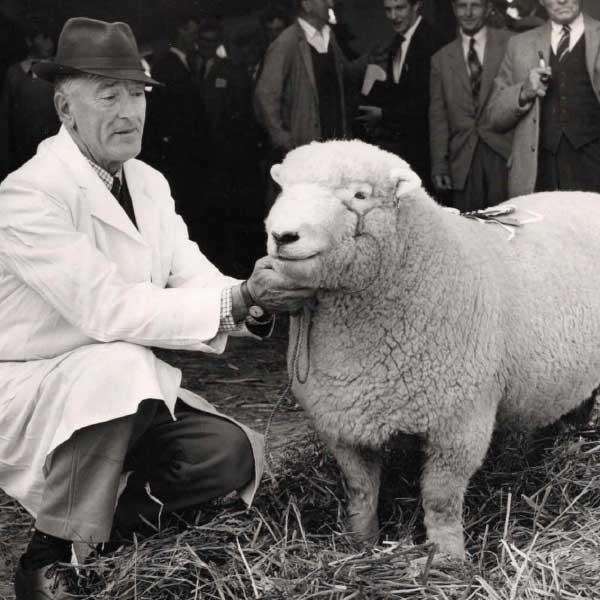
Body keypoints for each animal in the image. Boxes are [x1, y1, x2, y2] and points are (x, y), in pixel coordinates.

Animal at [264, 139, 600, 556]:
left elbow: (441, 499)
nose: (283, 236)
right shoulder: (343, 424)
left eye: (360, 195)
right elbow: (361, 490)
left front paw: (447, 556)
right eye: (283, 189)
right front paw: (361, 542)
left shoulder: (459, 422)